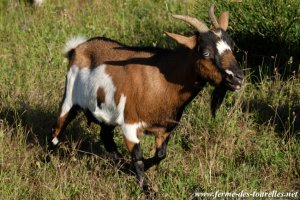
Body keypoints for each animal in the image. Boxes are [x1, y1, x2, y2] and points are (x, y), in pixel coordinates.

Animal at [48, 5, 244, 191]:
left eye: (232, 45)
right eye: (205, 52)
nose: (238, 78)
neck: (162, 82)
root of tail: (77, 48)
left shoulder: (165, 129)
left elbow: (160, 155)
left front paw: (132, 171)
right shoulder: (130, 125)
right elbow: (138, 159)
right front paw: (147, 189)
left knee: (105, 137)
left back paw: (120, 164)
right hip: (69, 99)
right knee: (56, 132)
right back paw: (49, 161)